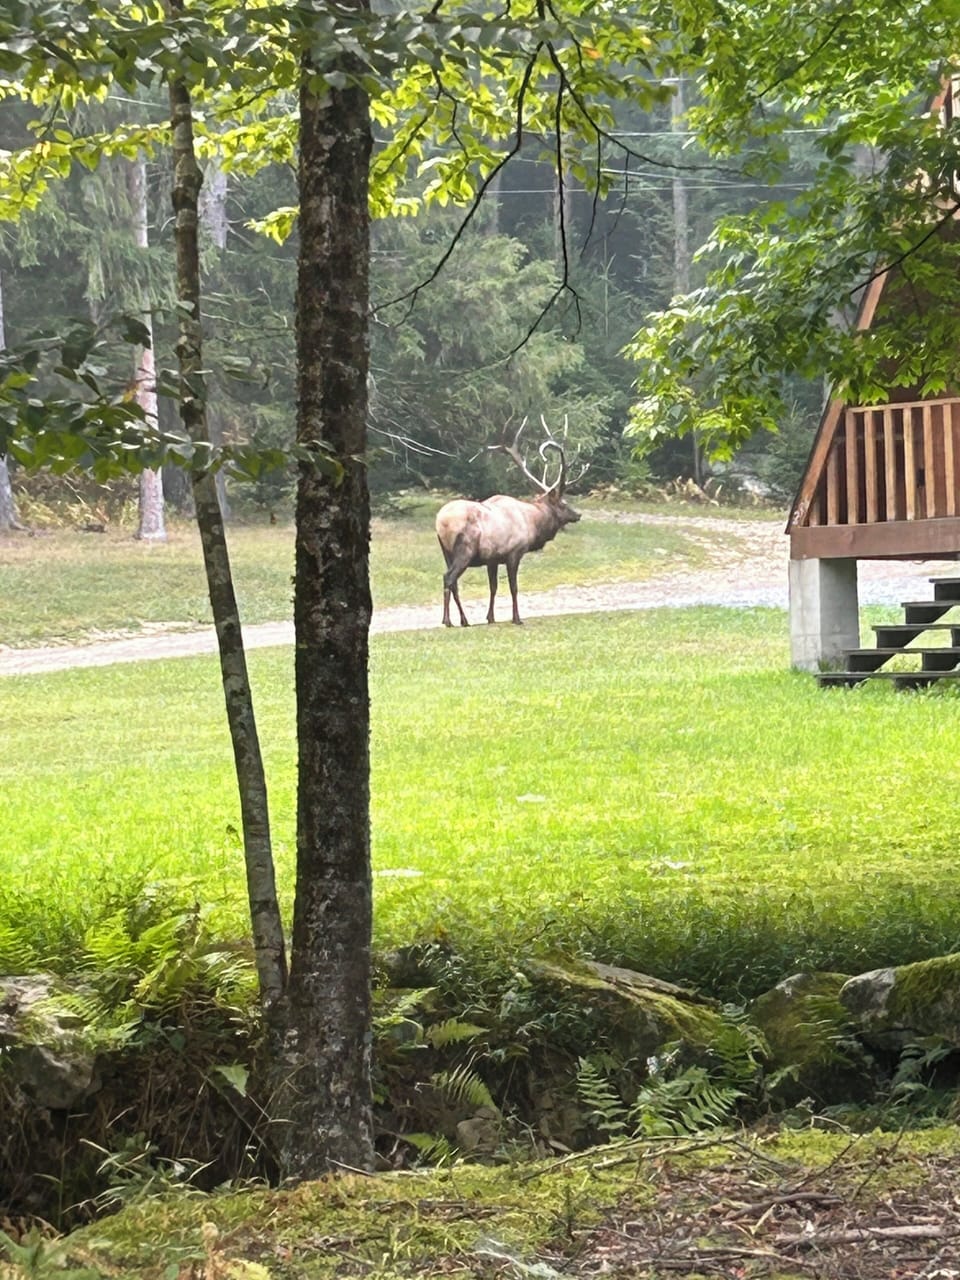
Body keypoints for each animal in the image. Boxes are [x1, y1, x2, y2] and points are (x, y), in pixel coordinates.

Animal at [435, 417, 582, 627]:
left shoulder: (492, 559)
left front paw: (490, 618)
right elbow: (514, 587)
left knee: (453, 582)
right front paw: (517, 618)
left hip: (446, 552)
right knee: (448, 578)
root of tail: (440, 521)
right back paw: (447, 620)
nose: (578, 515)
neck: (532, 523)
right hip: (465, 550)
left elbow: (493, 587)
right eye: (564, 503)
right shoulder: (514, 553)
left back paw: (464, 620)